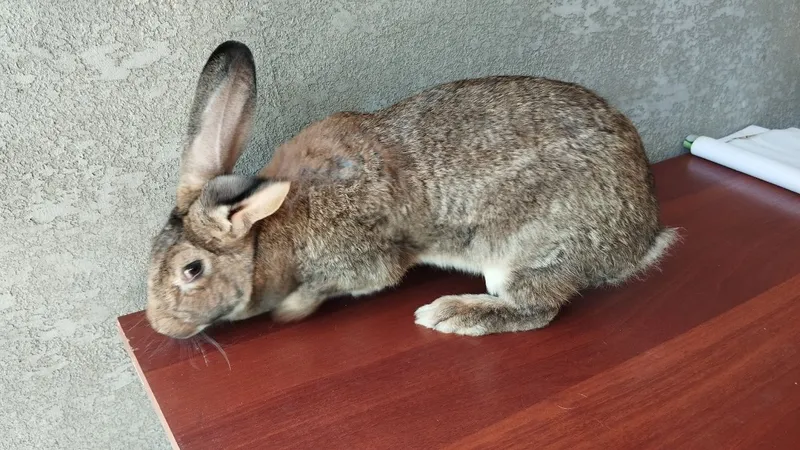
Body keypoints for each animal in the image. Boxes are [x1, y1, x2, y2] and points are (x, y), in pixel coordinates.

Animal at [145, 40, 677, 339]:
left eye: (192, 270)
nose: (160, 326)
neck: (266, 231)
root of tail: (642, 240)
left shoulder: (362, 261)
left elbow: (340, 284)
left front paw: (291, 312)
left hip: (531, 252)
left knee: (536, 308)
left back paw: (452, 316)